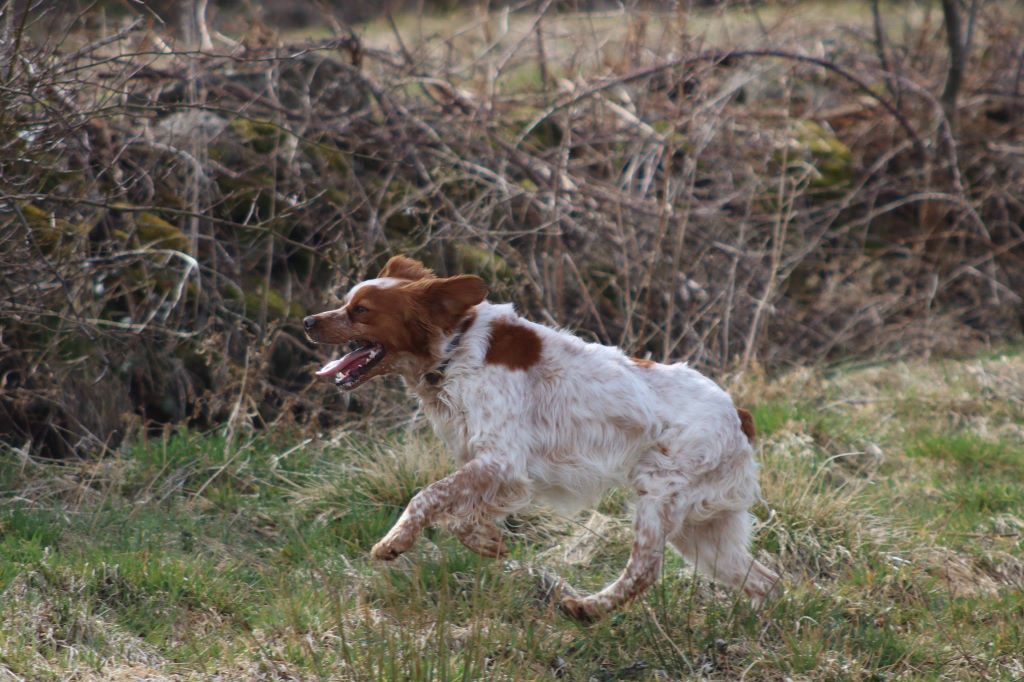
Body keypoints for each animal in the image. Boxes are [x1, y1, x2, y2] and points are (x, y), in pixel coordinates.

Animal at [301, 256, 774, 622]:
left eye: (361, 310)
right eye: (347, 303)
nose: (307, 321)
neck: (454, 351)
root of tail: (739, 414)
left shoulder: (503, 459)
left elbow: (428, 496)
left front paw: (396, 542)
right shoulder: (495, 469)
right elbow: (459, 511)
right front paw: (486, 539)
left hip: (660, 494)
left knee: (644, 570)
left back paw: (588, 608)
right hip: (702, 530)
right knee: (766, 580)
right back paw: (755, 625)